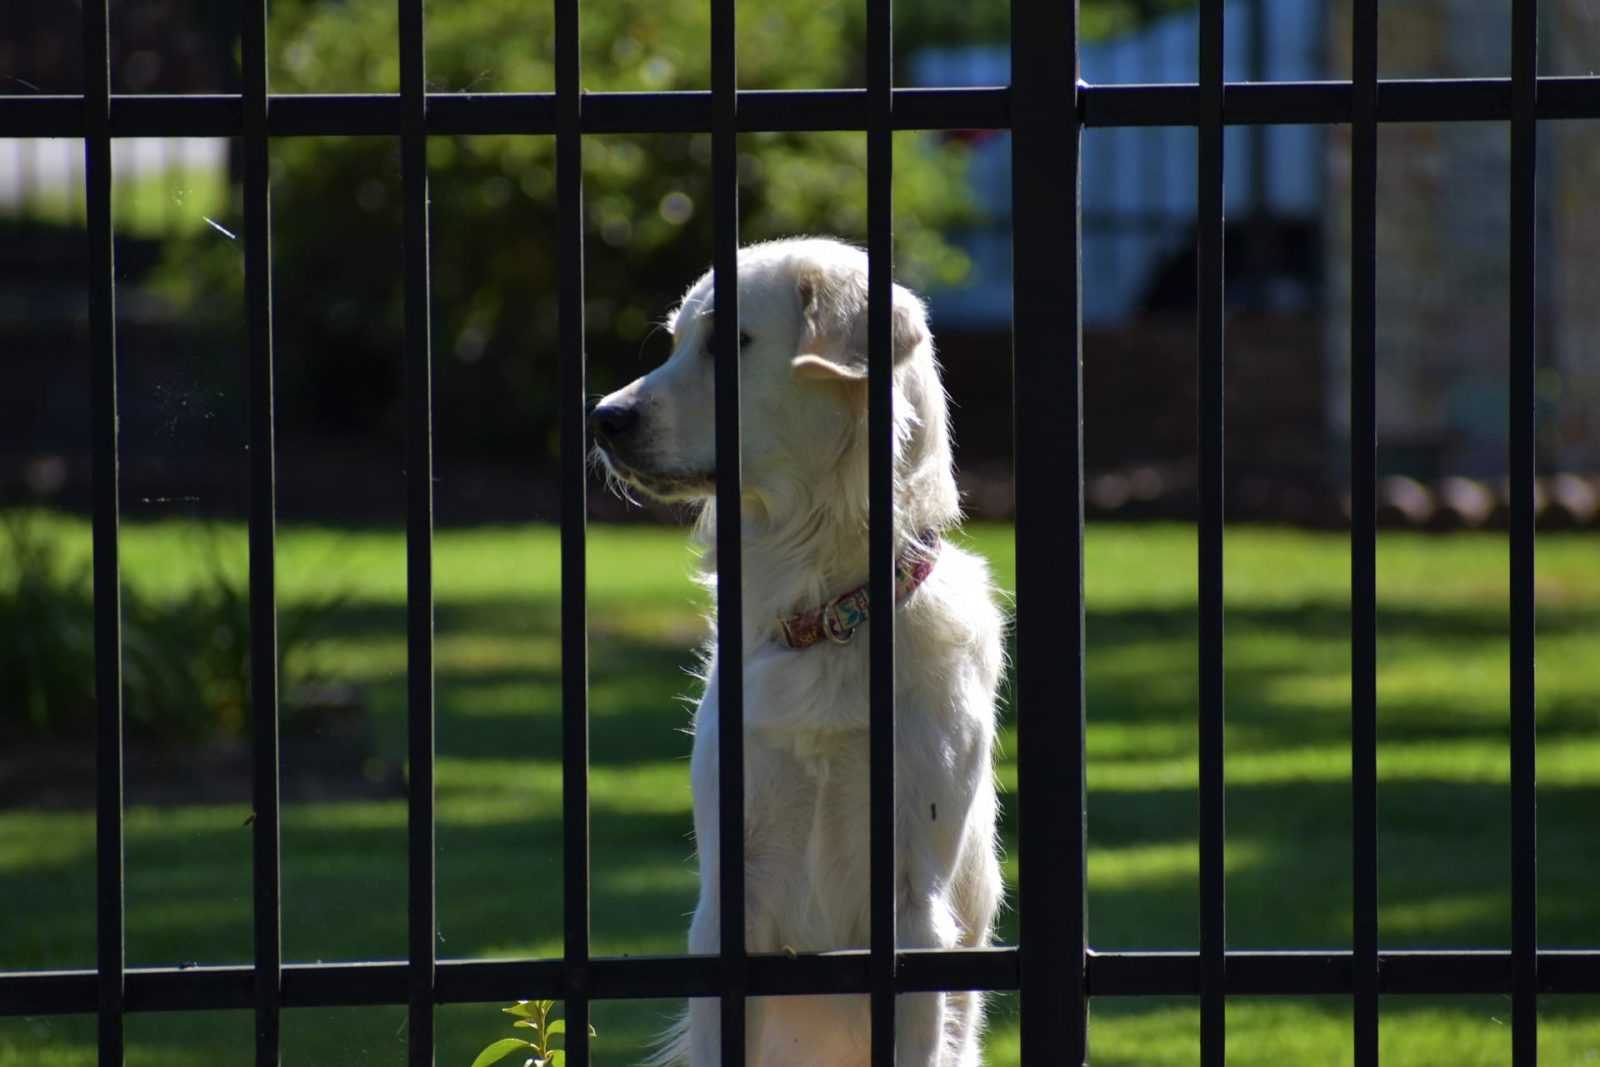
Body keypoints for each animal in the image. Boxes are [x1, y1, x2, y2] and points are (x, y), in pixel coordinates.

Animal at [595, 239, 1004, 1067]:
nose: (602, 419)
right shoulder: (732, 898)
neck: (829, 615)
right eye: (676, 341)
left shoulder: (913, 903)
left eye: (729, 341)